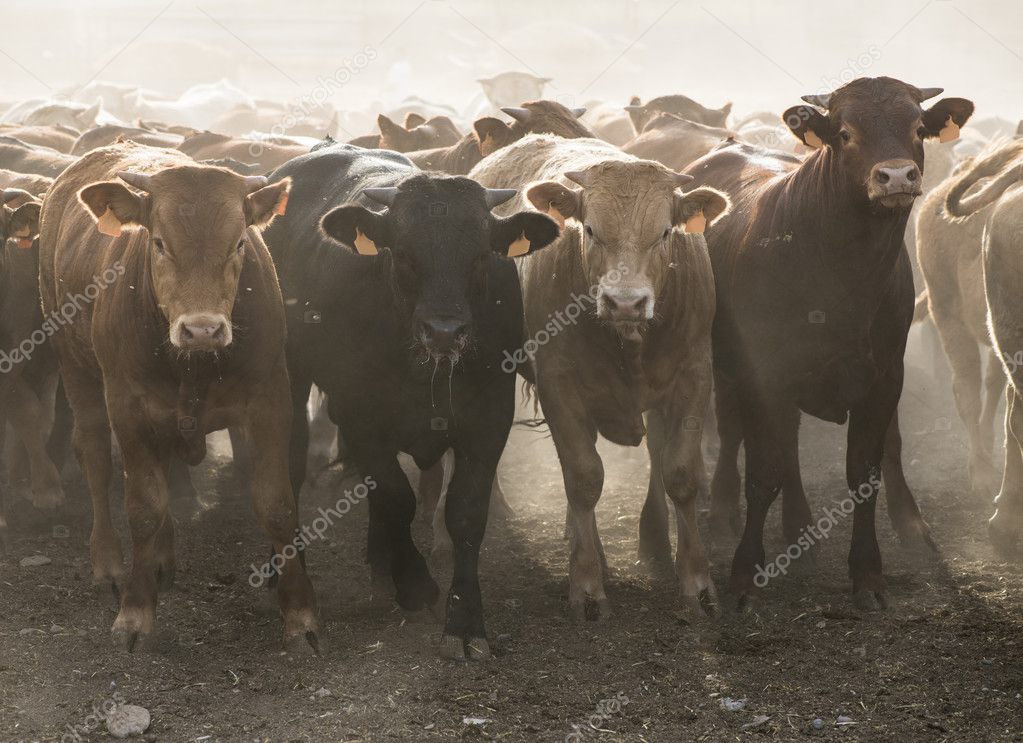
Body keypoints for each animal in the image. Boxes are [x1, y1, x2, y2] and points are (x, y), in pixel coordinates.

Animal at [38, 144, 319, 650]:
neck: (195, 363)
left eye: (239, 243)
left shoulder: (270, 398)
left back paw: (162, 560)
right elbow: (143, 507)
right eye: (158, 243)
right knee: (94, 457)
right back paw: (109, 563)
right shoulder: (127, 406)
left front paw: (300, 614)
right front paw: (135, 612)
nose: (202, 329)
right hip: (76, 369)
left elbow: (277, 504)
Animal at [259, 145, 556, 663]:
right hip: (291, 378)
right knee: (292, 467)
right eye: (403, 253)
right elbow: (397, 497)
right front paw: (416, 584)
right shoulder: (362, 418)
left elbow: (464, 513)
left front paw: (464, 621)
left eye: (480, 255)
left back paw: (381, 561)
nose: (444, 331)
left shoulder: (488, 420)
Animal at [468, 137, 732, 618]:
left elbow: (681, 474)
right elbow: (584, 478)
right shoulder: (560, 387)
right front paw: (587, 584)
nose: (625, 302)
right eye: (590, 230)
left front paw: (697, 583)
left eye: (664, 233)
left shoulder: (693, 377)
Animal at [687, 77, 973, 609]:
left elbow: (863, 474)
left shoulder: (883, 377)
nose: (896, 176)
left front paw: (868, 576)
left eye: (918, 129)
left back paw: (801, 531)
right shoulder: (767, 373)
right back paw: (727, 514)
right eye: (845, 133)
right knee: (740, 436)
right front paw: (743, 574)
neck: (844, 275)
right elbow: (763, 472)